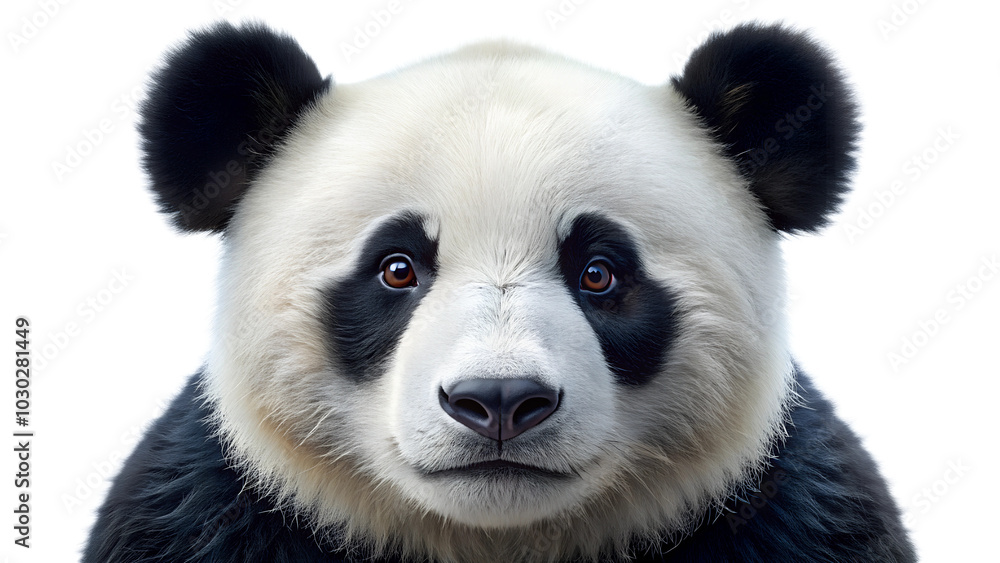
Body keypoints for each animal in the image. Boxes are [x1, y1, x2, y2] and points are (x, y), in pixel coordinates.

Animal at [84, 21, 916, 562]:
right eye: (396, 268)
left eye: (599, 272)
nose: (500, 400)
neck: (492, 539)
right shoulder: (206, 516)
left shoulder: (791, 517)